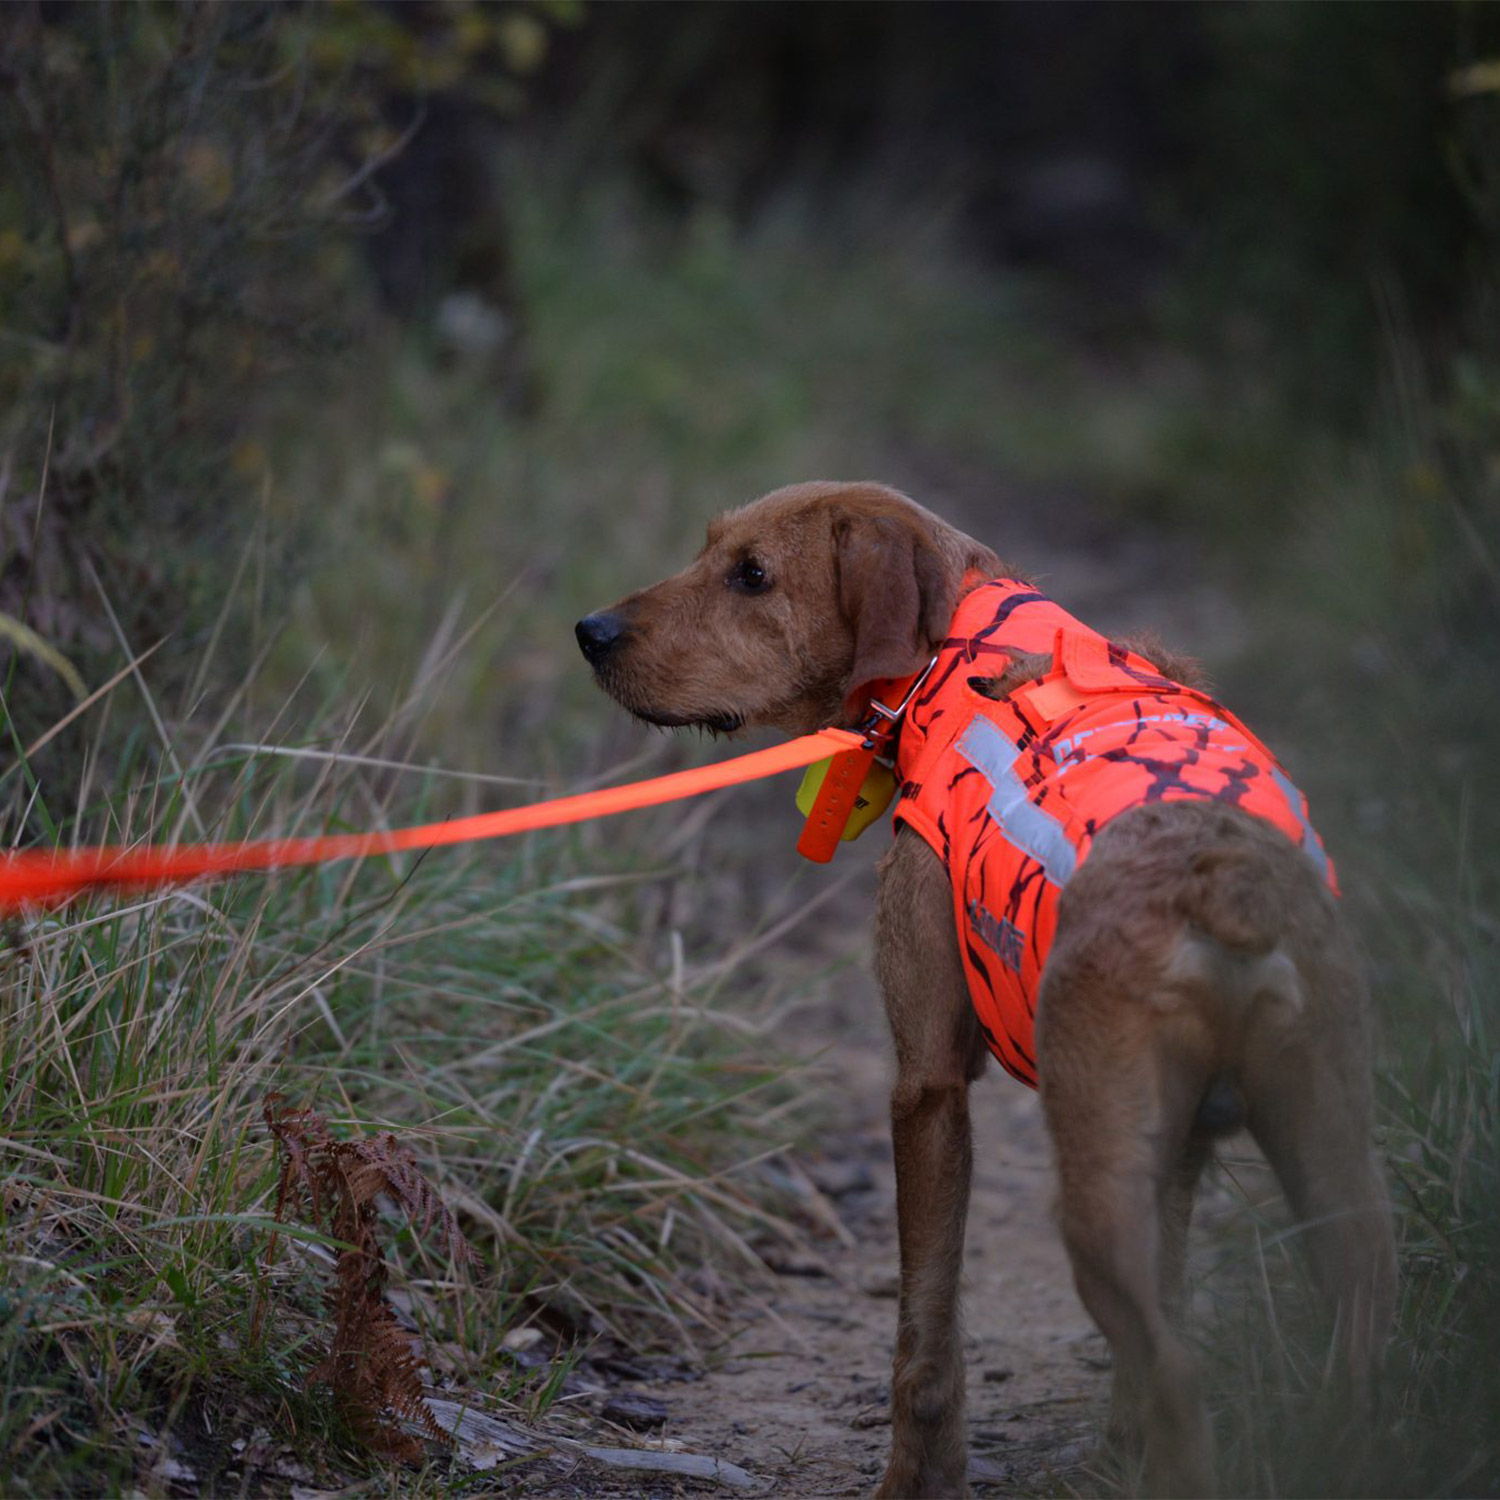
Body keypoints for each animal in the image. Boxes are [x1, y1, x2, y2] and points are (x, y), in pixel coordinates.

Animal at [573, 486, 1392, 1494]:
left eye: (752, 575)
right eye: (709, 550)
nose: (591, 631)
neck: (957, 649)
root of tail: (1219, 883)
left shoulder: (927, 1086)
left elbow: (925, 1340)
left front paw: (915, 1481)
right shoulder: (1179, 1151)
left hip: (1096, 1193)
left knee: (1176, 1372)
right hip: (1337, 1182)